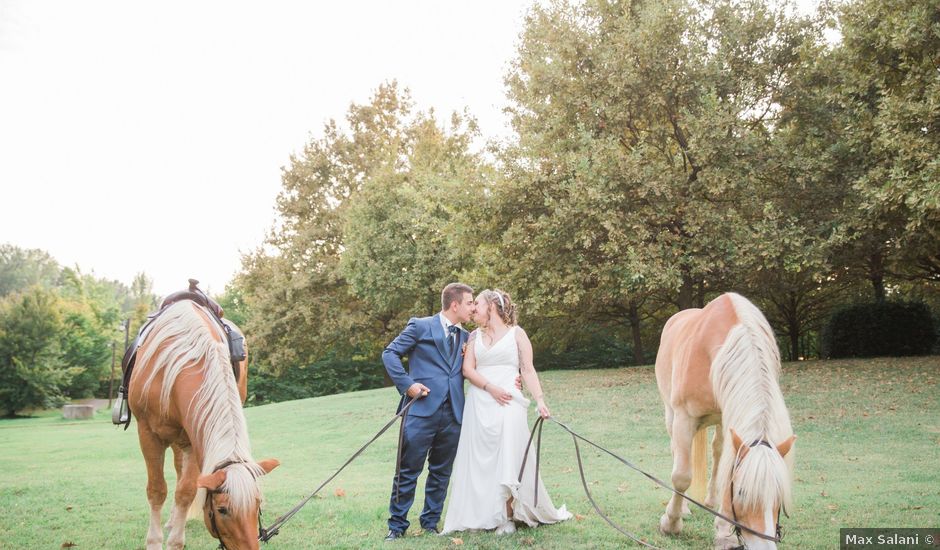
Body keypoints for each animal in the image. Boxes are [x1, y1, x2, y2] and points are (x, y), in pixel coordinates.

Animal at [130, 302, 280, 550]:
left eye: (258, 505)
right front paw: (154, 541)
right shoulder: (148, 433)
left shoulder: (193, 438)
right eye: (222, 510)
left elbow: (186, 490)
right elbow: (157, 490)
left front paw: (175, 541)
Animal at [656, 294, 796, 548]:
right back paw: (684, 509)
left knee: (718, 452)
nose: (764, 545)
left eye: (779, 497)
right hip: (671, 416)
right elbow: (681, 476)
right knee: (677, 454)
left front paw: (723, 532)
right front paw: (671, 523)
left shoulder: (728, 417)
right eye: (741, 493)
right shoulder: (683, 418)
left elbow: (725, 469)